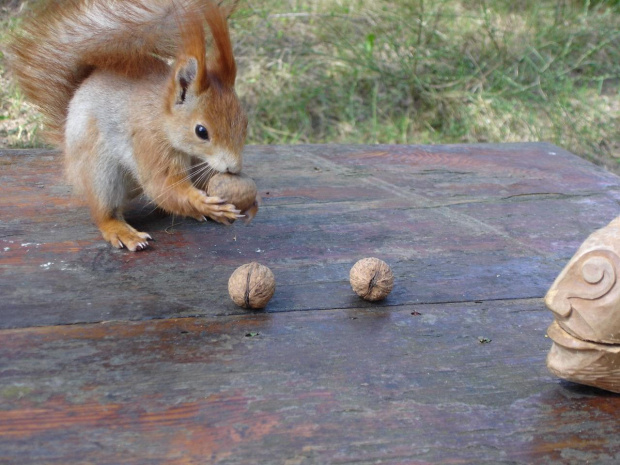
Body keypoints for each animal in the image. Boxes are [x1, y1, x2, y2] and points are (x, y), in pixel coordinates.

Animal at [8, 0, 248, 250]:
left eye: (245, 122)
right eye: (201, 131)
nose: (234, 167)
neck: (162, 119)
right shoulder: (149, 142)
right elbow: (162, 187)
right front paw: (207, 205)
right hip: (100, 172)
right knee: (104, 213)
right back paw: (121, 231)